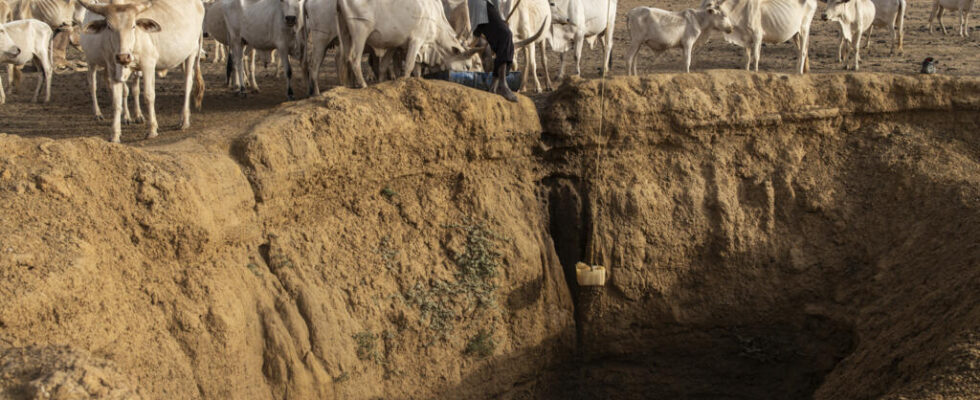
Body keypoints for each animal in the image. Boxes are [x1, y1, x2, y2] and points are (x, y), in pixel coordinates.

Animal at [78, 0, 205, 143]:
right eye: (109, 26)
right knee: (93, 85)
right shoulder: (112, 68)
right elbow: (116, 101)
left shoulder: (148, 65)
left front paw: (152, 130)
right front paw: (115, 135)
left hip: (192, 53)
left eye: (133, 26)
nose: (123, 57)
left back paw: (184, 121)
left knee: (188, 84)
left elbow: (149, 96)